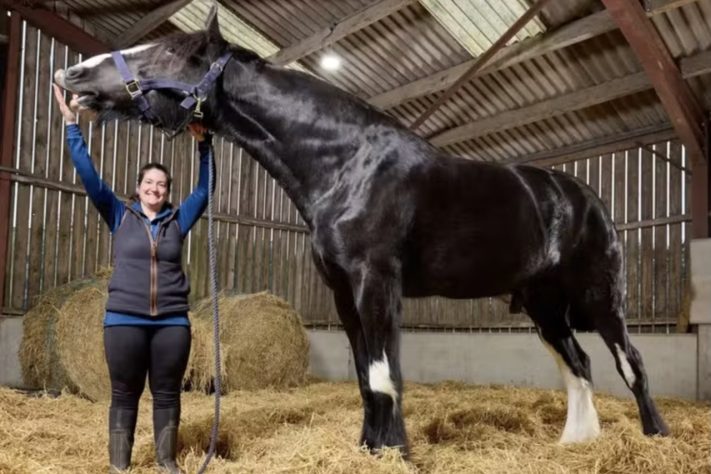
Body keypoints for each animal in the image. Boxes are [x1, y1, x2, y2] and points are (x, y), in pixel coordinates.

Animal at [53, 8, 669, 455]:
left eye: (169, 52)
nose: (71, 75)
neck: (347, 164)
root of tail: (585, 197)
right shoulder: (343, 293)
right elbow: (364, 375)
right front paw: (371, 447)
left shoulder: (377, 283)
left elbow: (384, 373)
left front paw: (395, 450)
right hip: (543, 306)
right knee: (579, 365)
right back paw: (576, 442)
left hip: (601, 299)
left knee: (630, 362)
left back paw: (654, 435)